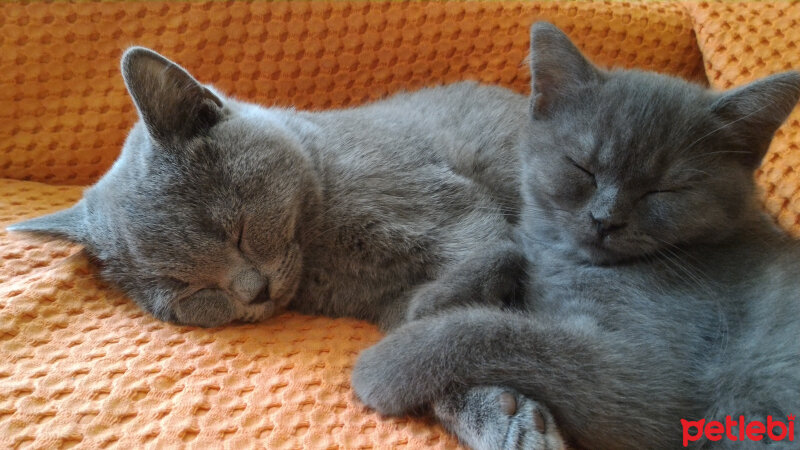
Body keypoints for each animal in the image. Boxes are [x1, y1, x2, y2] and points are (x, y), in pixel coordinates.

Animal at [354, 22, 800, 448]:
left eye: (664, 190)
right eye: (582, 167)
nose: (606, 219)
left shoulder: (650, 378)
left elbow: (501, 332)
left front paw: (384, 364)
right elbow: (507, 252)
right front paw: (431, 300)